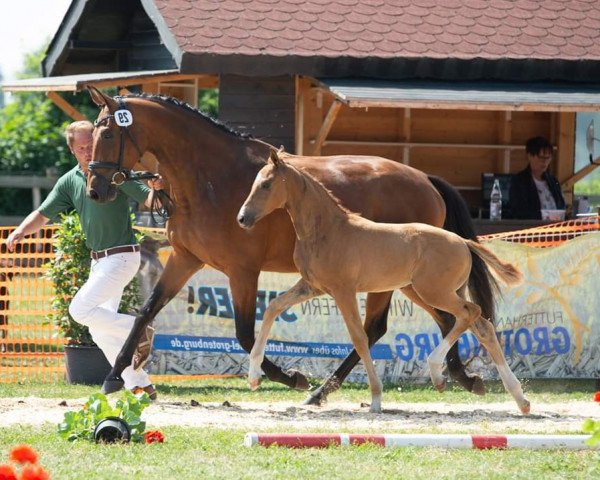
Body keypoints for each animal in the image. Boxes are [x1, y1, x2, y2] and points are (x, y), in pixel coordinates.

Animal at [85, 87, 496, 402]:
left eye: (107, 135)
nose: (95, 190)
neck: (211, 177)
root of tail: (426, 179)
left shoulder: (243, 271)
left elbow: (245, 333)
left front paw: (290, 376)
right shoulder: (185, 259)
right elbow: (146, 311)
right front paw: (114, 375)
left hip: (399, 282)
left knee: (388, 327)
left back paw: (327, 389)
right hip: (409, 283)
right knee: (447, 317)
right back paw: (460, 377)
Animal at [238, 152, 528, 414]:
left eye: (267, 185)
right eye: (254, 183)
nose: (242, 218)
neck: (328, 230)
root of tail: (464, 242)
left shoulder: (343, 291)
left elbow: (360, 338)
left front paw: (376, 399)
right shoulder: (312, 286)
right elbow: (273, 307)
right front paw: (253, 378)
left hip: (433, 292)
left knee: (470, 314)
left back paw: (438, 372)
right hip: (428, 291)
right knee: (481, 326)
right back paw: (519, 399)